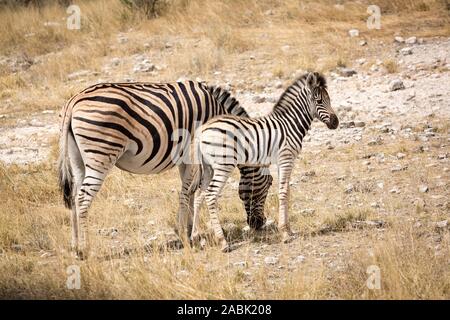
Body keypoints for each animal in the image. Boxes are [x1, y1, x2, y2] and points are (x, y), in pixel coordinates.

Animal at [58, 80, 272, 258]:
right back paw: (85, 249)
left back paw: (75, 247)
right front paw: (188, 235)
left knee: (74, 196)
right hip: (101, 154)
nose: (259, 224)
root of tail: (73, 101)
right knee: (83, 198)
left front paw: (188, 230)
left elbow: (190, 192)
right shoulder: (194, 154)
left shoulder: (186, 159)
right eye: (269, 184)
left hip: (78, 159)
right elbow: (190, 191)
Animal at [188, 73, 340, 252]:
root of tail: (203, 130)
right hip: (223, 165)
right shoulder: (286, 158)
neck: (290, 123)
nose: (336, 123)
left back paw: (196, 238)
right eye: (319, 101)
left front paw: (289, 230)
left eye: (329, 99)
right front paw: (285, 233)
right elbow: (283, 192)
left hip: (208, 168)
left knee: (199, 196)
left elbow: (287, 191)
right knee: (211, 195)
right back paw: (223, 242)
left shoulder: (284, 161)